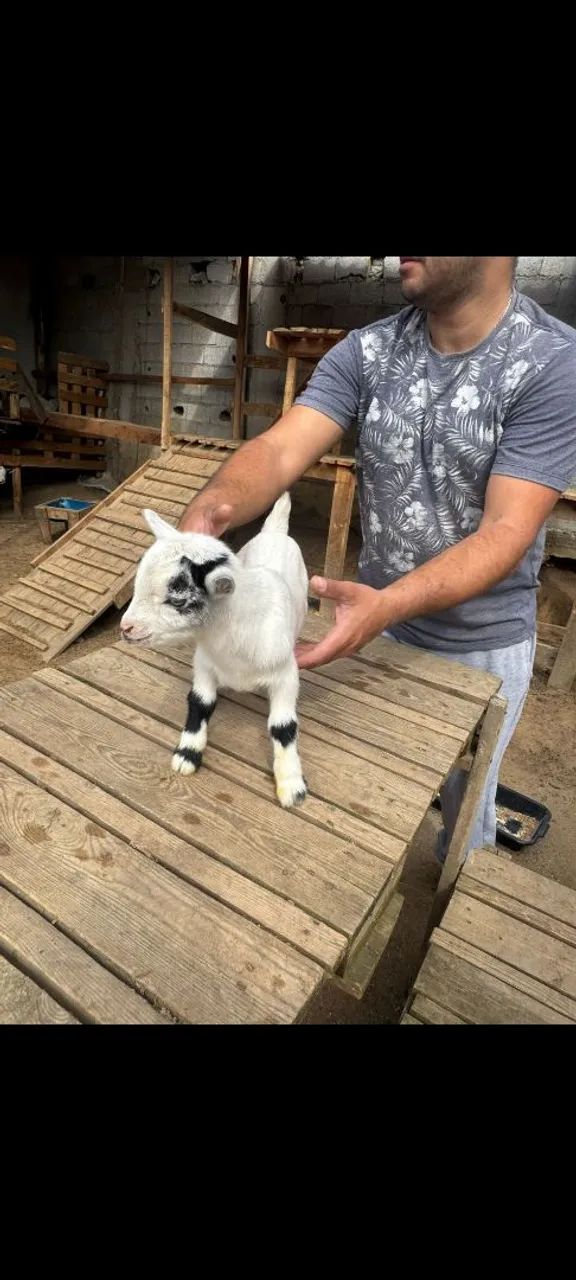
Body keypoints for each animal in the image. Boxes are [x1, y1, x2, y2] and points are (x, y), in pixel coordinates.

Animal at [120, 494, 309, 808]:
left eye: (178, 600)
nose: (126, 628)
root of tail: (275, 531)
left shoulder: (285, 676)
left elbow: (282, 726)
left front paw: (291, 785)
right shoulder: (205, 664)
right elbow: (200, 702)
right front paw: (187, 754)